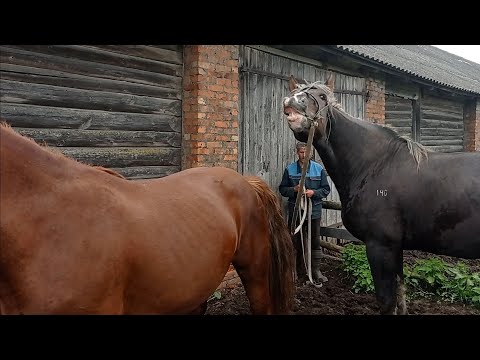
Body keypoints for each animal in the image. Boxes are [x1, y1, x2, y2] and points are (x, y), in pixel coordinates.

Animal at [282, 77, 480, 314]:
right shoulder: (396, 248)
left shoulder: (380, 246)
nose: (293, 101)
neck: (375, 165)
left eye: (321, 96)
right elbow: (400, 295)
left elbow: (386, 302)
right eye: (296, 90)